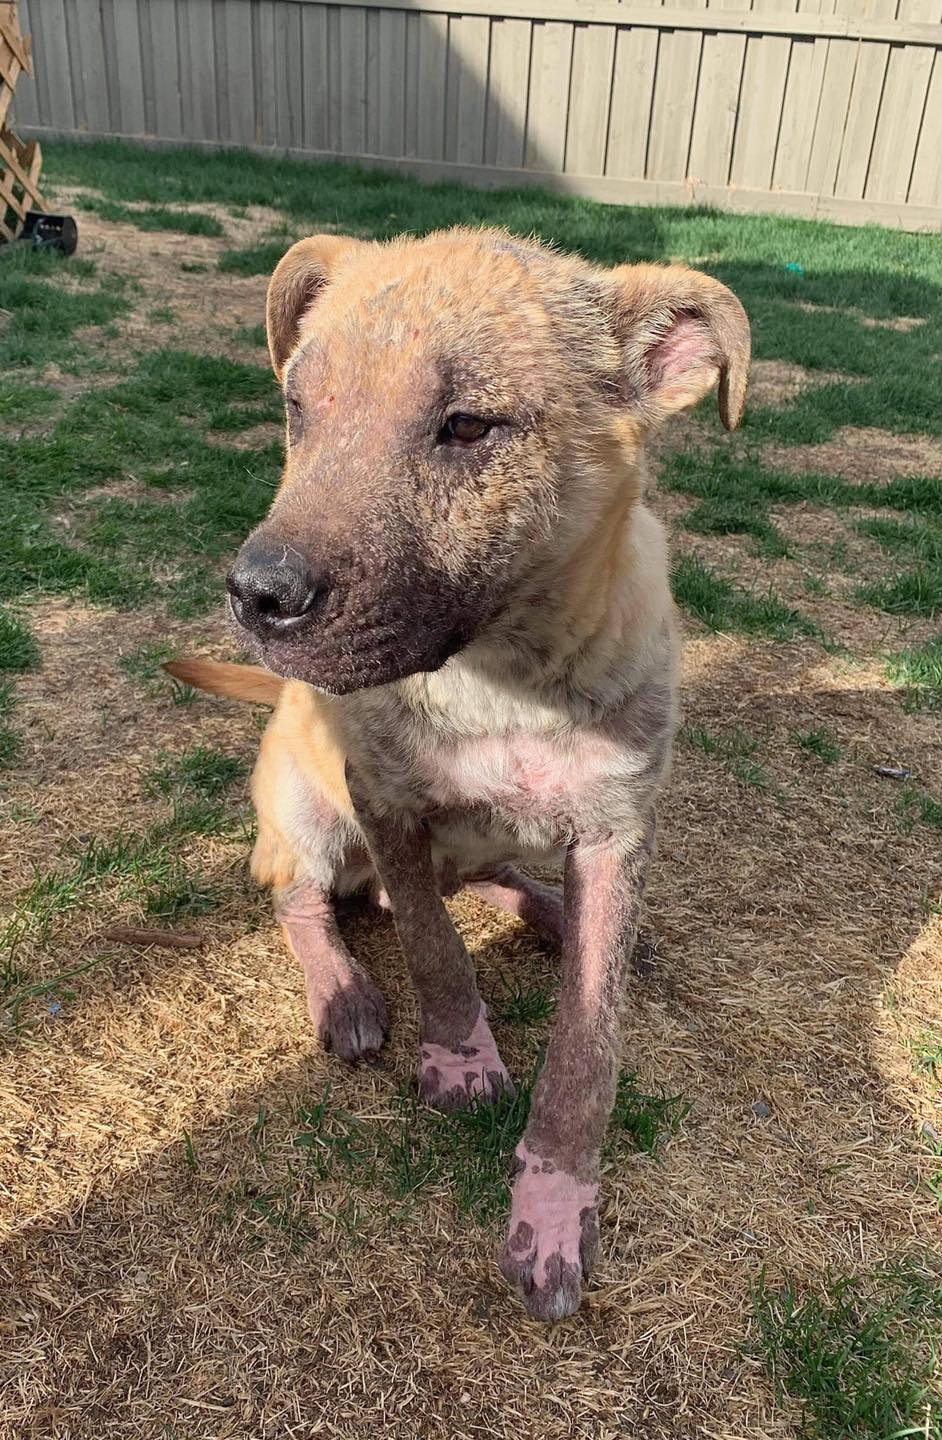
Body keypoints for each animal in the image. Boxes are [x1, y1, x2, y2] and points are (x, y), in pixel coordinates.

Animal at [168, 227, 750, 1320]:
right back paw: (345, 991)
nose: (255, 596)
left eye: (470, 426)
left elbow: (587, 1046)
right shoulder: (384, 802)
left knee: (486, 884)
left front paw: (554, 1205)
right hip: (307, 810)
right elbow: (436, 953)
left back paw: (554, 914)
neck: (502, 683)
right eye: (299, 408)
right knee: (306, 896)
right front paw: (460, 1056)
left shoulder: (618, 832)